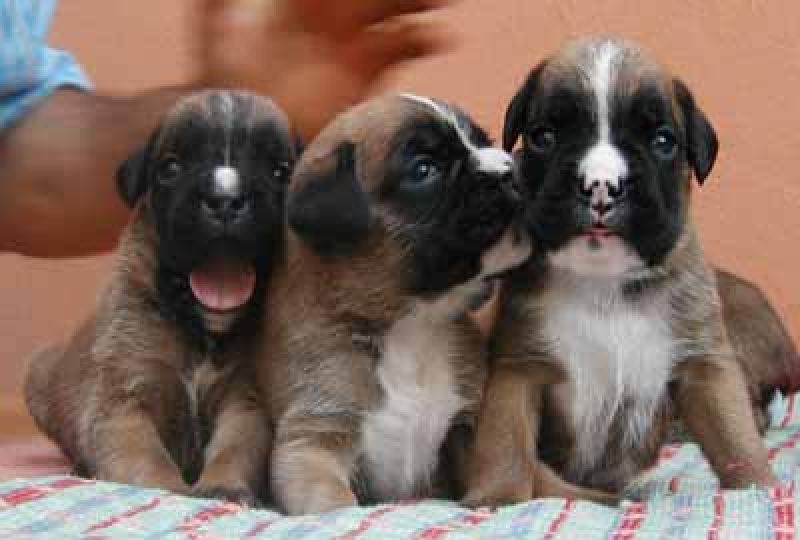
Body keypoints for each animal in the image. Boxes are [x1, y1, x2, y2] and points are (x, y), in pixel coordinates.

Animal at [258, 95, 532, 516]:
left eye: (482, 140)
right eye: (424, 169)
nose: (512, 169)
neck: (414, 325)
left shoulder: (465, 426)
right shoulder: (312, 442)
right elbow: (334, 503)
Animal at [466, 38, 784, 506]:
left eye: (663, 141)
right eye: (545, 137)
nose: (600, 185)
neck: (603, 281)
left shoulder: (703, 367)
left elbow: (734, 436)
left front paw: (759, 488)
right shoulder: (518, 372)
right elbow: (505, 442)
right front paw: (499, 496)